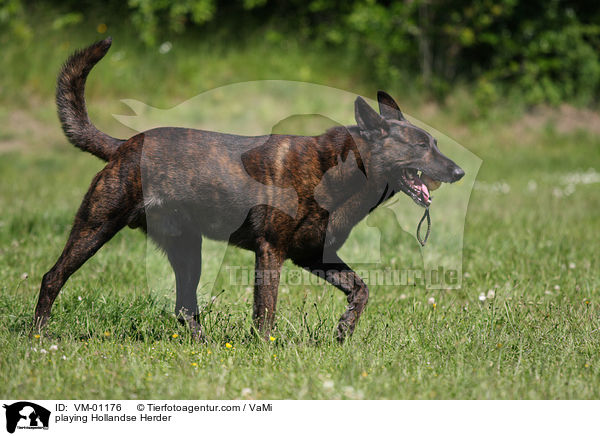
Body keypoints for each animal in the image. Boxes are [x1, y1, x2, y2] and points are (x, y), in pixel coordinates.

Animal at [31, 39, 464, 340]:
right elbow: (265, 311)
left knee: (184, 307)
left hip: (187, 250)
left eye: (434, 143)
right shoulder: (270, 251)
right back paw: (38, 337)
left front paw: (343, 332)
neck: (339, 174)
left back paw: (205, 348)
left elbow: (361, 290)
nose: (459, 171)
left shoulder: (314, 255)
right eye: (420, 146)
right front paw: (264, 350)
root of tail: (124, 146)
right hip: (96, 226)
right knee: (52, 278)